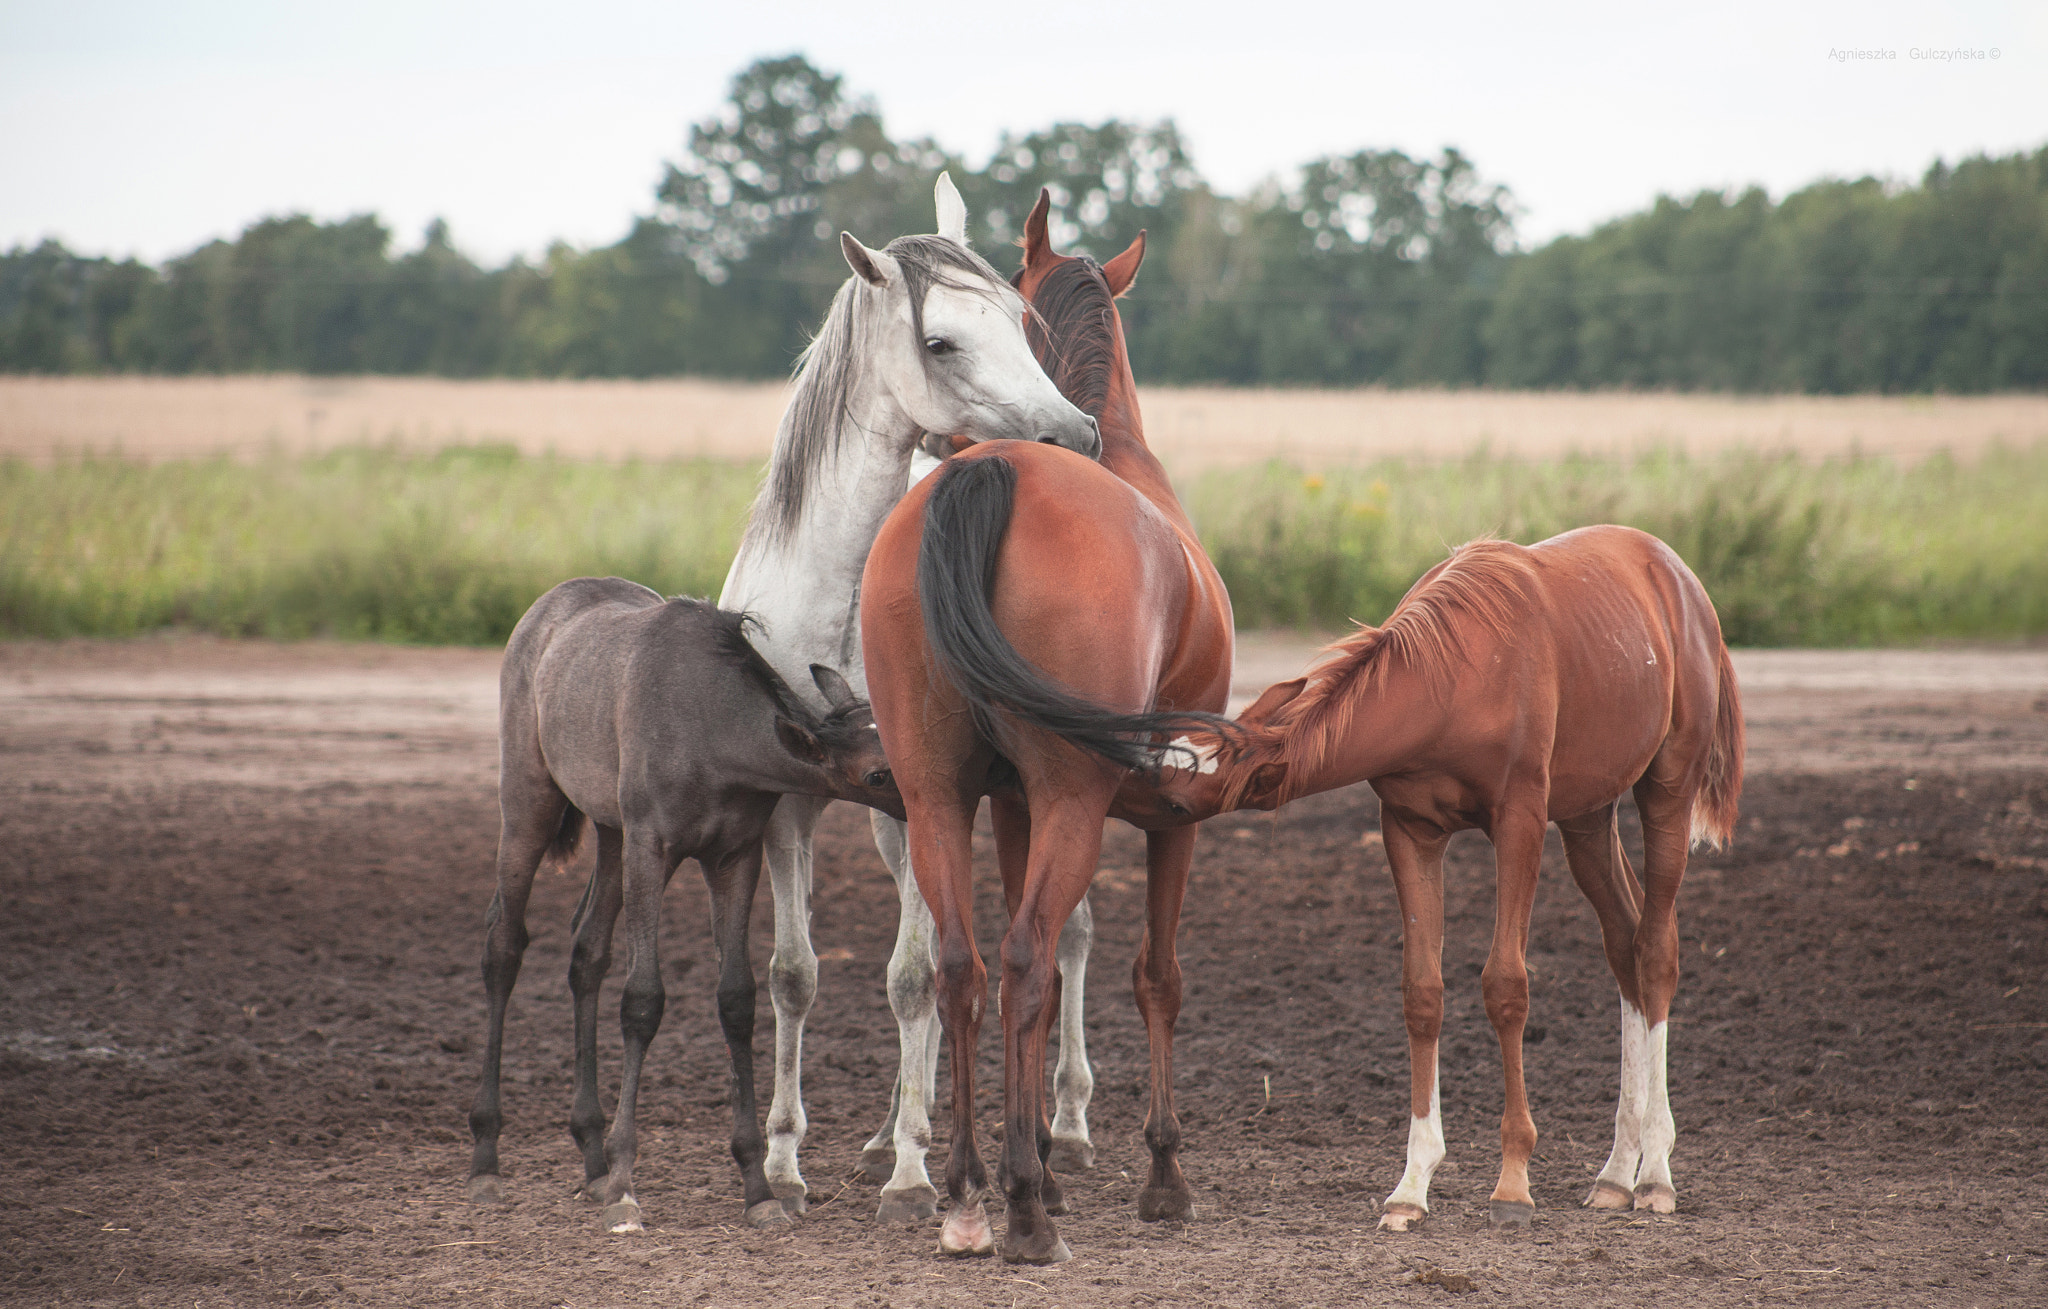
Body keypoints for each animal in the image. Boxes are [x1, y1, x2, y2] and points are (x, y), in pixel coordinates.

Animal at [466, 579, 905, 1234]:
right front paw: (626, 1185)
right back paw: (489, 1157)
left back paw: (590, 1157)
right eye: (877, 774)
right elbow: (643, 999)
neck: (713, 733)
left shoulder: (733, 856)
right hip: (529, 800)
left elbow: (737, 999)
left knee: (587, 950)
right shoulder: (653, 845)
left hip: (610, 831)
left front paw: (757, 1187)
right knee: (504, 942)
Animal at [715, 175, 1102, 1224]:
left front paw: (917, 1172)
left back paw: (1057, 1125)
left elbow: (918, 976)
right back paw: (887, 1129)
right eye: (941, 341)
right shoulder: (790, 802)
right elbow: (797, 976)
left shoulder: (928, 792)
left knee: (1062, 937)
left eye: (1019, 319)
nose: (1075, 436)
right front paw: (785, 1163)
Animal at [858, 192, 1237, 1263]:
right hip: (1076, 800)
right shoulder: (1172, 820)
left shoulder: (1012, 805)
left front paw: (1037, 1154)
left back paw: (967, 1189)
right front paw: (1162, 1175)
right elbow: (1157, 976)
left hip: (936, 796)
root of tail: (985, 475)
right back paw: (1022, 1209)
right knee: (1024, 961)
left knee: (962, 965)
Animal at [1138, 524, 1745, 1230]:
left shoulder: (1519, 822)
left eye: (1178, 798)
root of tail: (1680, 579)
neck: (1456, 676)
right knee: (1624, 943)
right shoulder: (1411, 831)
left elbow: (1506, 985)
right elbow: (1422, 993)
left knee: (1656, 951)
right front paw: (1412, 1185)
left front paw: (1512, 1184)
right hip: (1587, 816)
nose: (1127, 795)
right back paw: (1617, 1172)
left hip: (1665, 792)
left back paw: (1655, 1173)